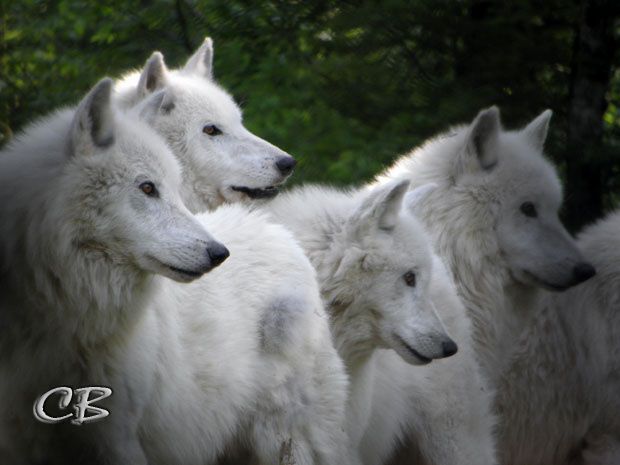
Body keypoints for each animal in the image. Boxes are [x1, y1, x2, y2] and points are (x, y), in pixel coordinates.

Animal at [0, 80, 348, 464]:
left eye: (173, 187)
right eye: (147, 187)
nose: (219, 253)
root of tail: (278, 230)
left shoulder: (117, 440)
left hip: (290, 440)